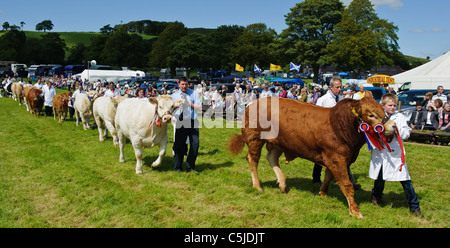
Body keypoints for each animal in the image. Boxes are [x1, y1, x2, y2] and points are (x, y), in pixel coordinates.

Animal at [230, 95, 396, 219]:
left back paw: (282, 183)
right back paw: (257, 185)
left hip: (279, 142)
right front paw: (355, 211)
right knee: (253, 159)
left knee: (271, 157)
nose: (393, 126)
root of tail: (253, 103)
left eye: (383, 109)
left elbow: (328, 176)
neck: (340, 126)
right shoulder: (337, 158)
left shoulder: (337, 158)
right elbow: (347, 185)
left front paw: (323, 193)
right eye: (371, 115)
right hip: (254, 138)